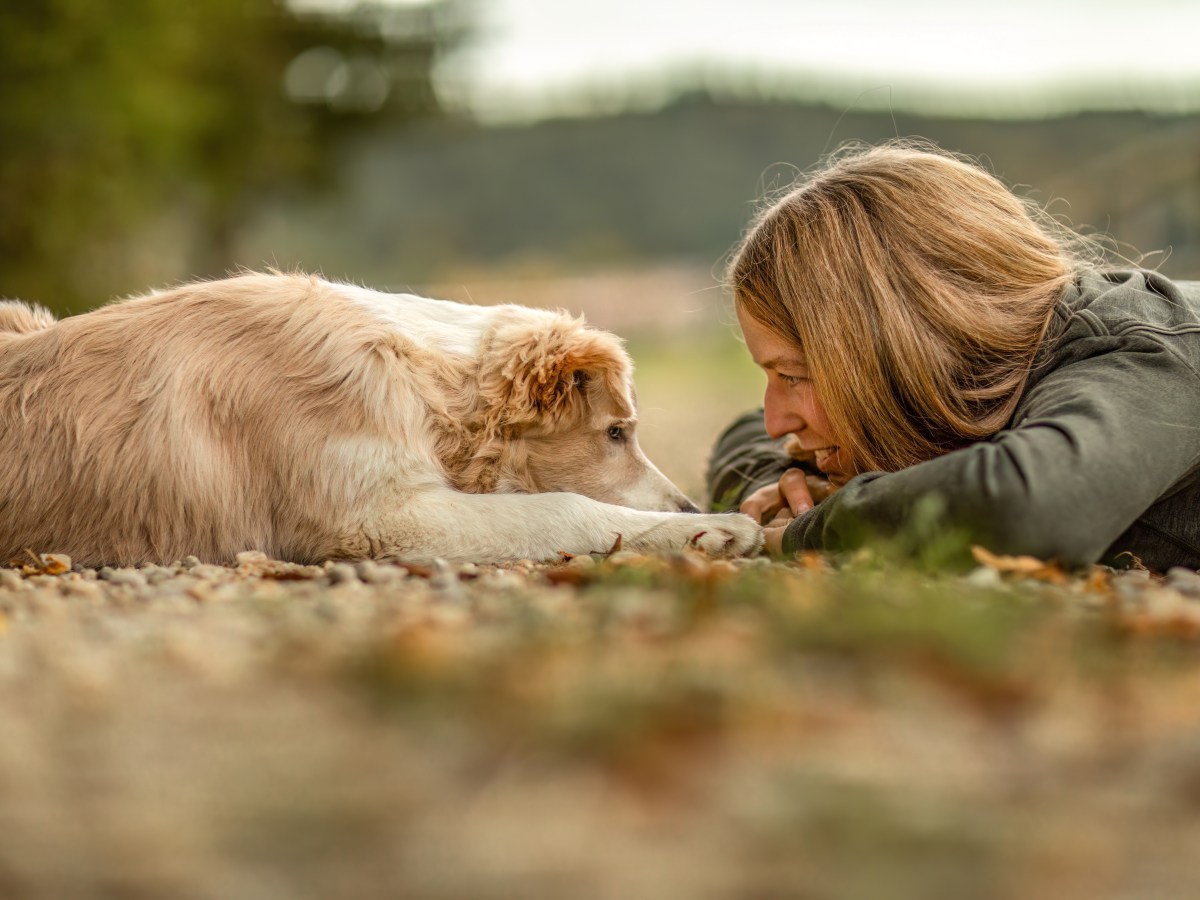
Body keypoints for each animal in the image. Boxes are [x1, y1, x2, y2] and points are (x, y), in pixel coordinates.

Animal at [0, 274, 763, 566]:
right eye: (615, 433)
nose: (689, 503)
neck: (419, 381)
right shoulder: (377, 518)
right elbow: (563, 508)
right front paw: (715, 529)